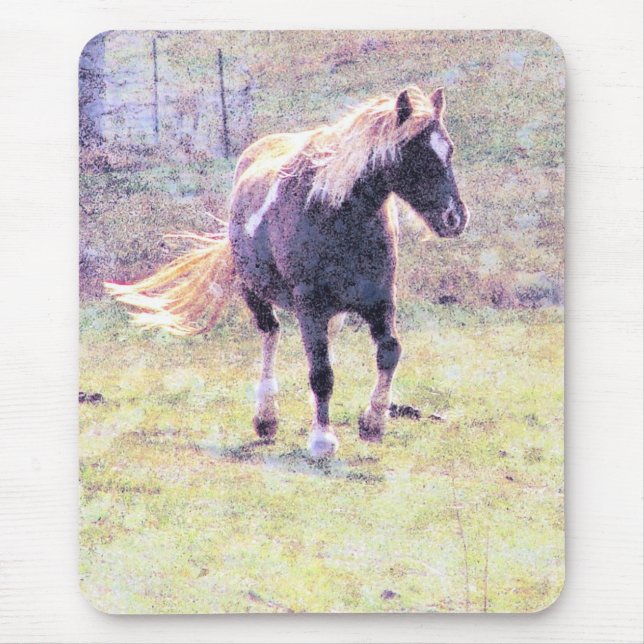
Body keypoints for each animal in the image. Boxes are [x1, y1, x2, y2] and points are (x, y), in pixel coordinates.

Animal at [105, 85, 470, 458]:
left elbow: (389, 353)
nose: (455, 218)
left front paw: (372, 423)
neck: (336, 213)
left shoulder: (380, 300)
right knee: (271, 334)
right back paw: (266, 418)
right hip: (255, 294)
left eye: (449, 149)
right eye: (416, 153)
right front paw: (322, 439)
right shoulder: (309, 306)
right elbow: (321, 374)